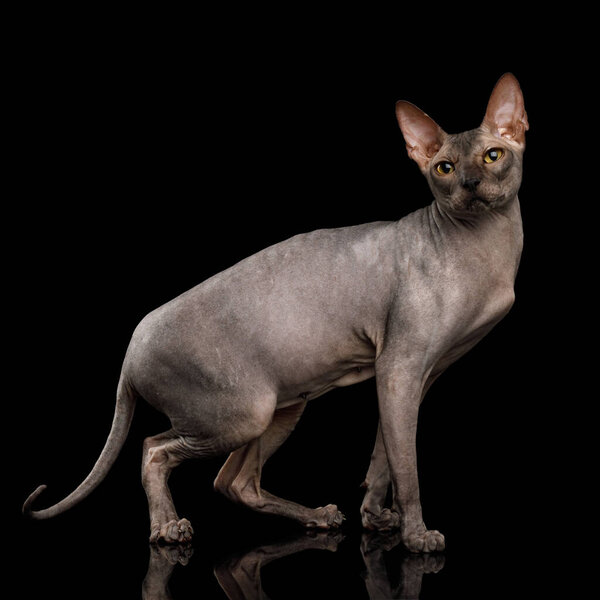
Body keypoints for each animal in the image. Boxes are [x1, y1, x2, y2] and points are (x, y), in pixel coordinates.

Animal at [23, 72, 528, 552]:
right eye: (444, 168)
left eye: (492, 156)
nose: (470, 184)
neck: (485, 249)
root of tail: (129, 353)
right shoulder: (399, 367)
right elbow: (408, 468)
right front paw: (417, 537)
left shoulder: (421, 376)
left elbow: (385, 456)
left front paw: (374, 517)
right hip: (244, 411)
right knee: (154, 449)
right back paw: (167, 528)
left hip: (282, 405)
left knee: (234, 482)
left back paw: (315, 517)